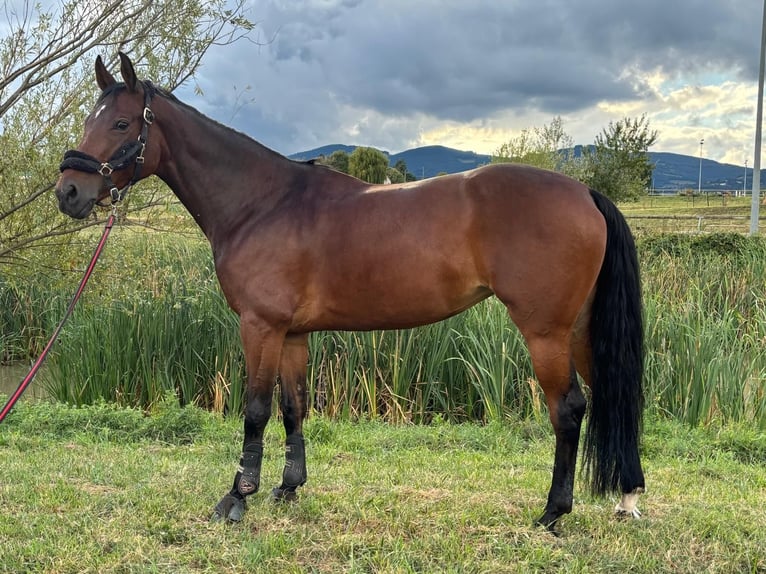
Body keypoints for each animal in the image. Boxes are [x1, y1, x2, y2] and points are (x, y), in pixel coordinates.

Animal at [52, 54, 648, 536]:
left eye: (122, 122)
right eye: (87, 119)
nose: (69, 193)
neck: (262, 203)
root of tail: (585, 192)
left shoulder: (259, 326)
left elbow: (255, 410)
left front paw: (236, 499)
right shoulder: (292, 334)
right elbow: (292, 408)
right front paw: (288, 487)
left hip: (544, 331)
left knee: (568, 409)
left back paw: (552, 513)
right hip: (579, 328)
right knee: (612, 397)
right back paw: (626, 498)